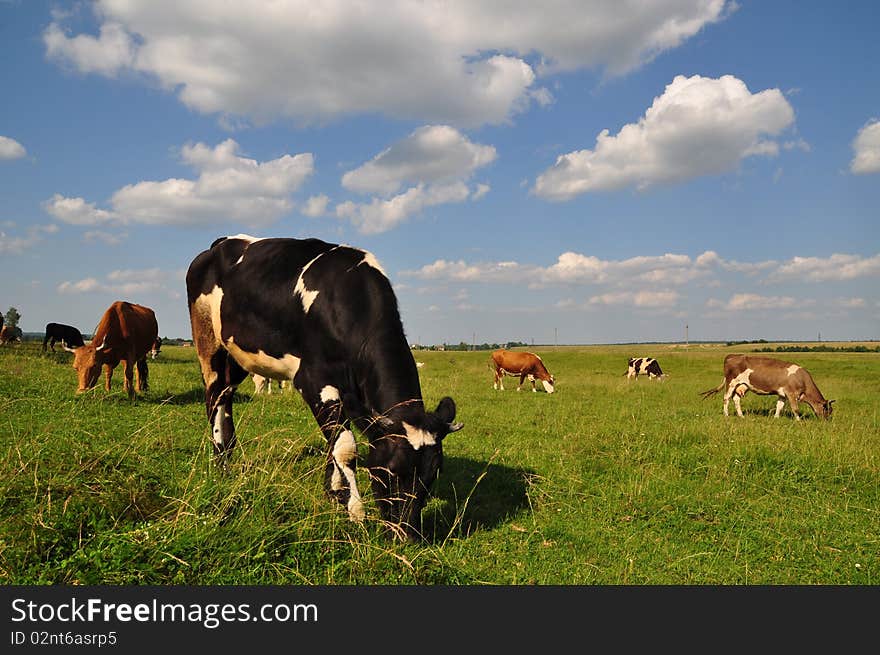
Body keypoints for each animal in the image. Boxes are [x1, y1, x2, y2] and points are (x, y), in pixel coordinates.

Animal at [188, 236, 464, 544]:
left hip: (236, 358)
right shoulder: (313, 380)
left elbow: (334, 445)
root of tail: (221, 243)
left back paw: (228, 452)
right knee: (214, 398)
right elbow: (345, 448)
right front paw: (355, 512)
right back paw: (220, 463)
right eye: (389, 472)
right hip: (208, 341)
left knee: (226, 397)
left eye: (433, 473)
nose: (408, 536)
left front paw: (333, 493)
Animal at [696, 354, 836, 420]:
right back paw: (726, 415)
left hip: (742, 385)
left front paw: (776, 418)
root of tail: (732, 355)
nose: (826, 421)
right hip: (731, 383)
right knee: (726, 398)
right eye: (827, 410)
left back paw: (741, 416)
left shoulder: (782, 394)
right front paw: (799, 421)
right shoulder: (791, 393)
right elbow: (795, 409)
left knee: (736, 399)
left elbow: (779, 406)